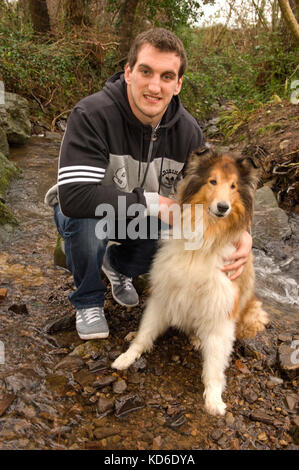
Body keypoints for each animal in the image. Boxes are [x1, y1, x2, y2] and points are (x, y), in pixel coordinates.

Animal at [112, 147, 270, 414]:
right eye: (212, 181)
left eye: (233, 186)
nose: (223, 207)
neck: (206, 236)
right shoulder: (164, 291)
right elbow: (145, 333)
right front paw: (127, 356)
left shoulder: (221, 311)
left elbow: (215, 363)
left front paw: (214, 399)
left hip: (253, 313)